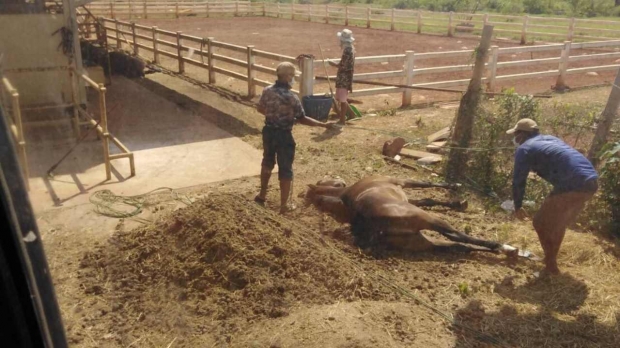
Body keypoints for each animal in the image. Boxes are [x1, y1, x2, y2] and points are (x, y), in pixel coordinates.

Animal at [308, 177, 516, 256]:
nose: (339, 180)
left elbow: (426, 199)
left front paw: (457, 203)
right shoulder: (400, 181)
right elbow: (425, 184)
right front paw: (456, 188)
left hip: (423, 241)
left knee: (459, 247)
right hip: (427, 220)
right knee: (457, 236)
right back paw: (503, 246)